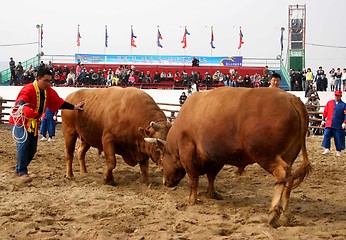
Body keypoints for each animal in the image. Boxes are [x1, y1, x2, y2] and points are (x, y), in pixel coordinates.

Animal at [145, 86, 312, 227]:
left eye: (163, 159)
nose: (165, 182)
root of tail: (292, 98)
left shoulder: (188, 153)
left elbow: (193, 179)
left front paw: (192, 200)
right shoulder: (215, 157)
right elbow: (212, 176)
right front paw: (212, 193)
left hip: (266, 155)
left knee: (282, 174)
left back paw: (273, 214)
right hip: (288, 157)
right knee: (289, 179)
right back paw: (284, 214)